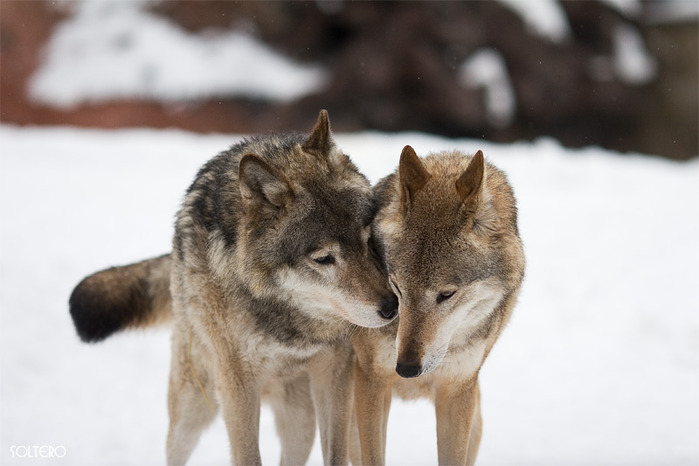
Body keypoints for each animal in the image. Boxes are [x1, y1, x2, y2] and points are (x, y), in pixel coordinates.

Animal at [72, 111, 402, 464]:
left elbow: (337, 453)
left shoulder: (336, 371)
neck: (289, 318)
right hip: (193, 407)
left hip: (300, 421)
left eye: (369, 239)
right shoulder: (238, 385)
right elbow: (247, 455)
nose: (391, 307)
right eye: (324, 258)